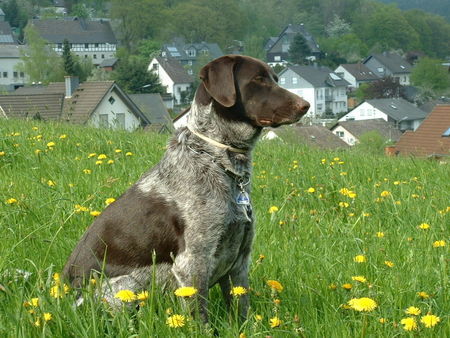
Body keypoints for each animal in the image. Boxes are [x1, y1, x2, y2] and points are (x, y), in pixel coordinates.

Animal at [62, 55, 310, 322]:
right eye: (258, 79)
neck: (216, 157)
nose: (305, 105)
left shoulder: (240, 260)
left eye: (275, 78)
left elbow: (241, 309)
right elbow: (200, 319)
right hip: (127, 286)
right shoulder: (192, 263)